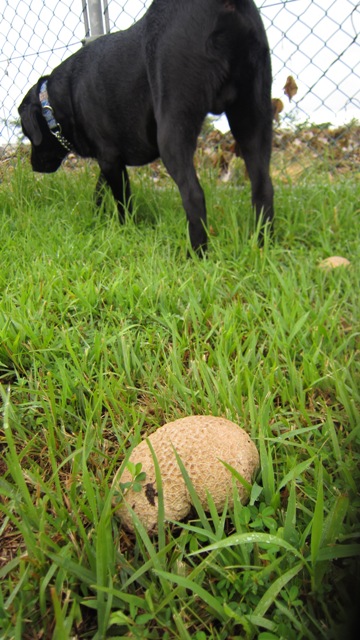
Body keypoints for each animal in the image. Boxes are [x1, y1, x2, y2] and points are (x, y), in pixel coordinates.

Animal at [18, 0, 274, 255]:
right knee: (263, 188)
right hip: (253, 118)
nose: (33, 165)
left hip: (173, 131)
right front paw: (97, 214)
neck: (60, 99)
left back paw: (196, 254)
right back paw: (263, 244)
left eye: (28, 134)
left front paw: (125, 228)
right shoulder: (110, 158)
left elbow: (122, 200)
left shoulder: (109, 158)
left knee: (194, 195)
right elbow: (100, 188)